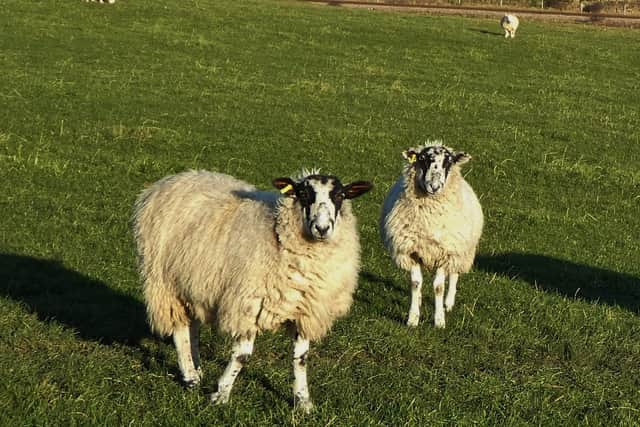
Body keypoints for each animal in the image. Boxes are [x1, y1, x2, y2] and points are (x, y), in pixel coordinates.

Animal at [133, 169, 372, 412]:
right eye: (304, 193)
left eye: (340, 195)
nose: (322, 229)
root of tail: (173, 179)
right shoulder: (248, 305)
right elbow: (242, 356)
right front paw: (221, 394)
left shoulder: (304, 311)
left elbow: (301, 358)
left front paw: (303, 401)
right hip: (166, 283)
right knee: (180, 329)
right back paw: (190, 376)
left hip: (194, 282)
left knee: (194, 327)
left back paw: (197, 369)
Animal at [380, 142, 483, 329]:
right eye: (422, 159)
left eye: (449, 162)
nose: (434, 186)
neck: (430, 218)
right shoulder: (411, 250)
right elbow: (415, 284)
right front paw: (413, 318)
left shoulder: (445, 252)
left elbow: (438, 287)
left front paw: (439, 320)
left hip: (460, 251)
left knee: (454, 274)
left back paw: (448, 303)